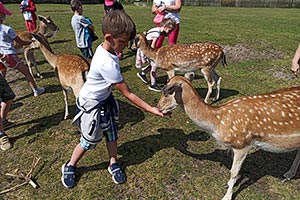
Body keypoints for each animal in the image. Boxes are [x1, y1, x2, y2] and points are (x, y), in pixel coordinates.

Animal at [157, 75, 300, 200]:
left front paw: (226, 196)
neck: (218, 123)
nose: (158, 108)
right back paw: (288, 175)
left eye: (166, 92)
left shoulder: (242, 144)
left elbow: (234, 172)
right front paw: (227, 184)